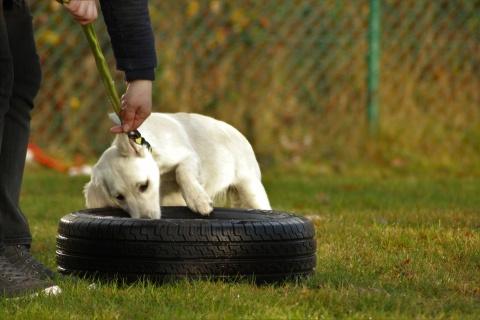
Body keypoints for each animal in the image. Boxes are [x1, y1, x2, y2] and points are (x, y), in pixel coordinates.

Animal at [83, 111, 270, 219]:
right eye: (119, 197)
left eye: (144, 186)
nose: (144, 220)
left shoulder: (189, 156)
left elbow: (182, 172)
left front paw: (198, 200)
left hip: (252, 191)